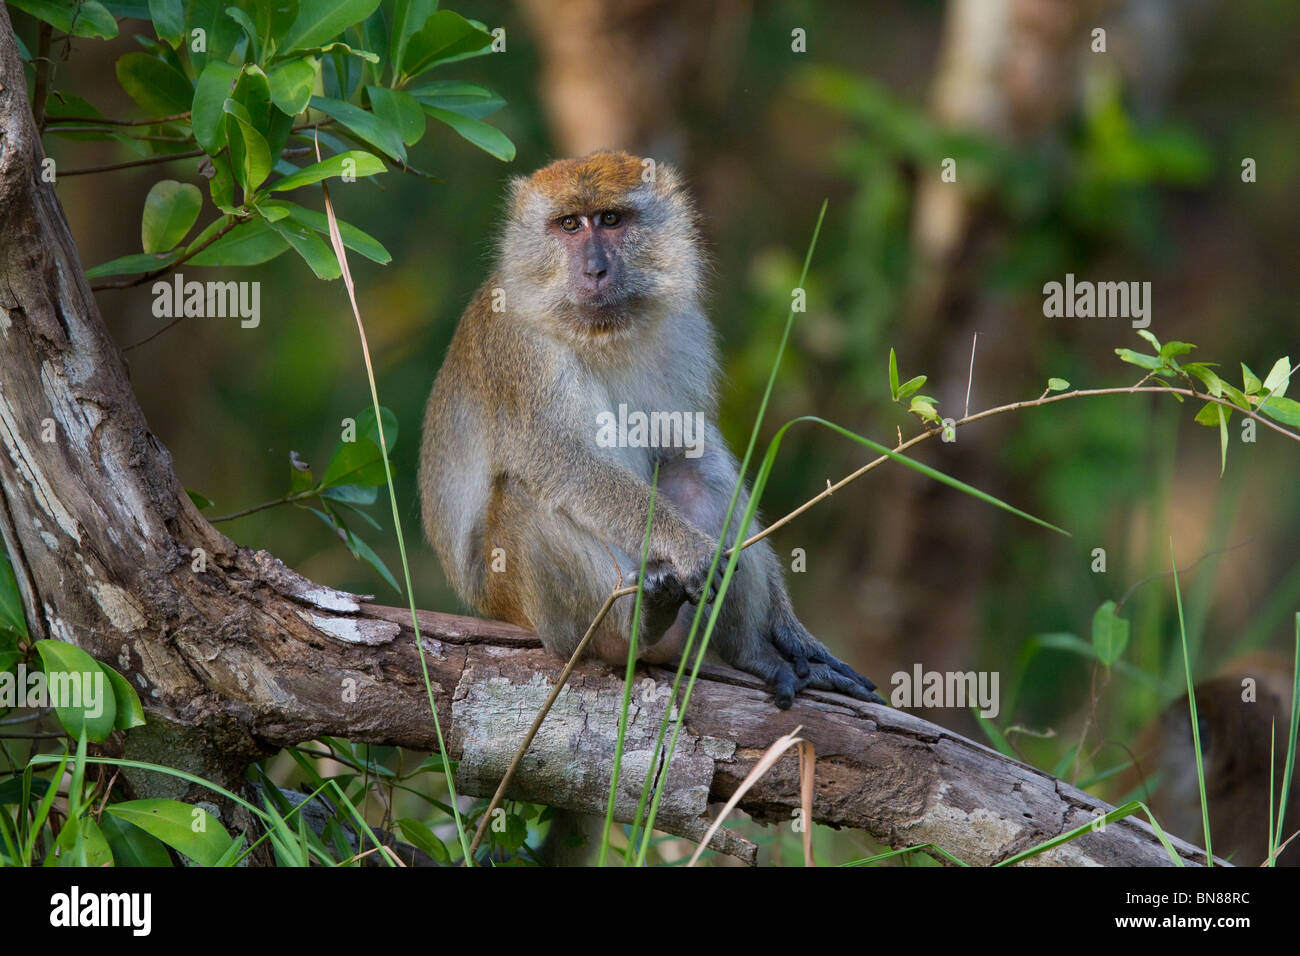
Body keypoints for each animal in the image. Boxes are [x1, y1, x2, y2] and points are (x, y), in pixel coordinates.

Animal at [419, 150, 882, 710]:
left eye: (611, 219)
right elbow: (566, 462)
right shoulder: (520, 351)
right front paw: (688, 547)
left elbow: (685, 443)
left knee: (696, 467)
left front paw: (788, 631)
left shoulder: (685, 330)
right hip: (523, 603)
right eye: (569, 225)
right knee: (526, 495)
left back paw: (749, 649)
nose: (595, 269)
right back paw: (629, 632)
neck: (598, 331)